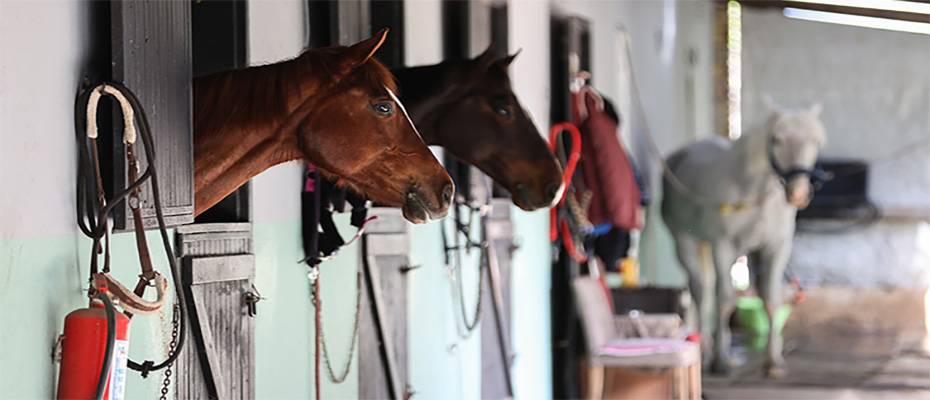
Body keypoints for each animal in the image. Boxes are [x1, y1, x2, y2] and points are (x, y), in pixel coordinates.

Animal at [660, 101, 828, 376]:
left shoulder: (775, 248)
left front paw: (773, 362)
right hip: (684, 241)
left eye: (816, 141)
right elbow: (726, 299)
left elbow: (771, 299)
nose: (798, 194)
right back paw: (707, 351)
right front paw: (722, 362)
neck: (753, 194)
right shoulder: (723, 245)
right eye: (776, 139)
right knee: (701, 290)